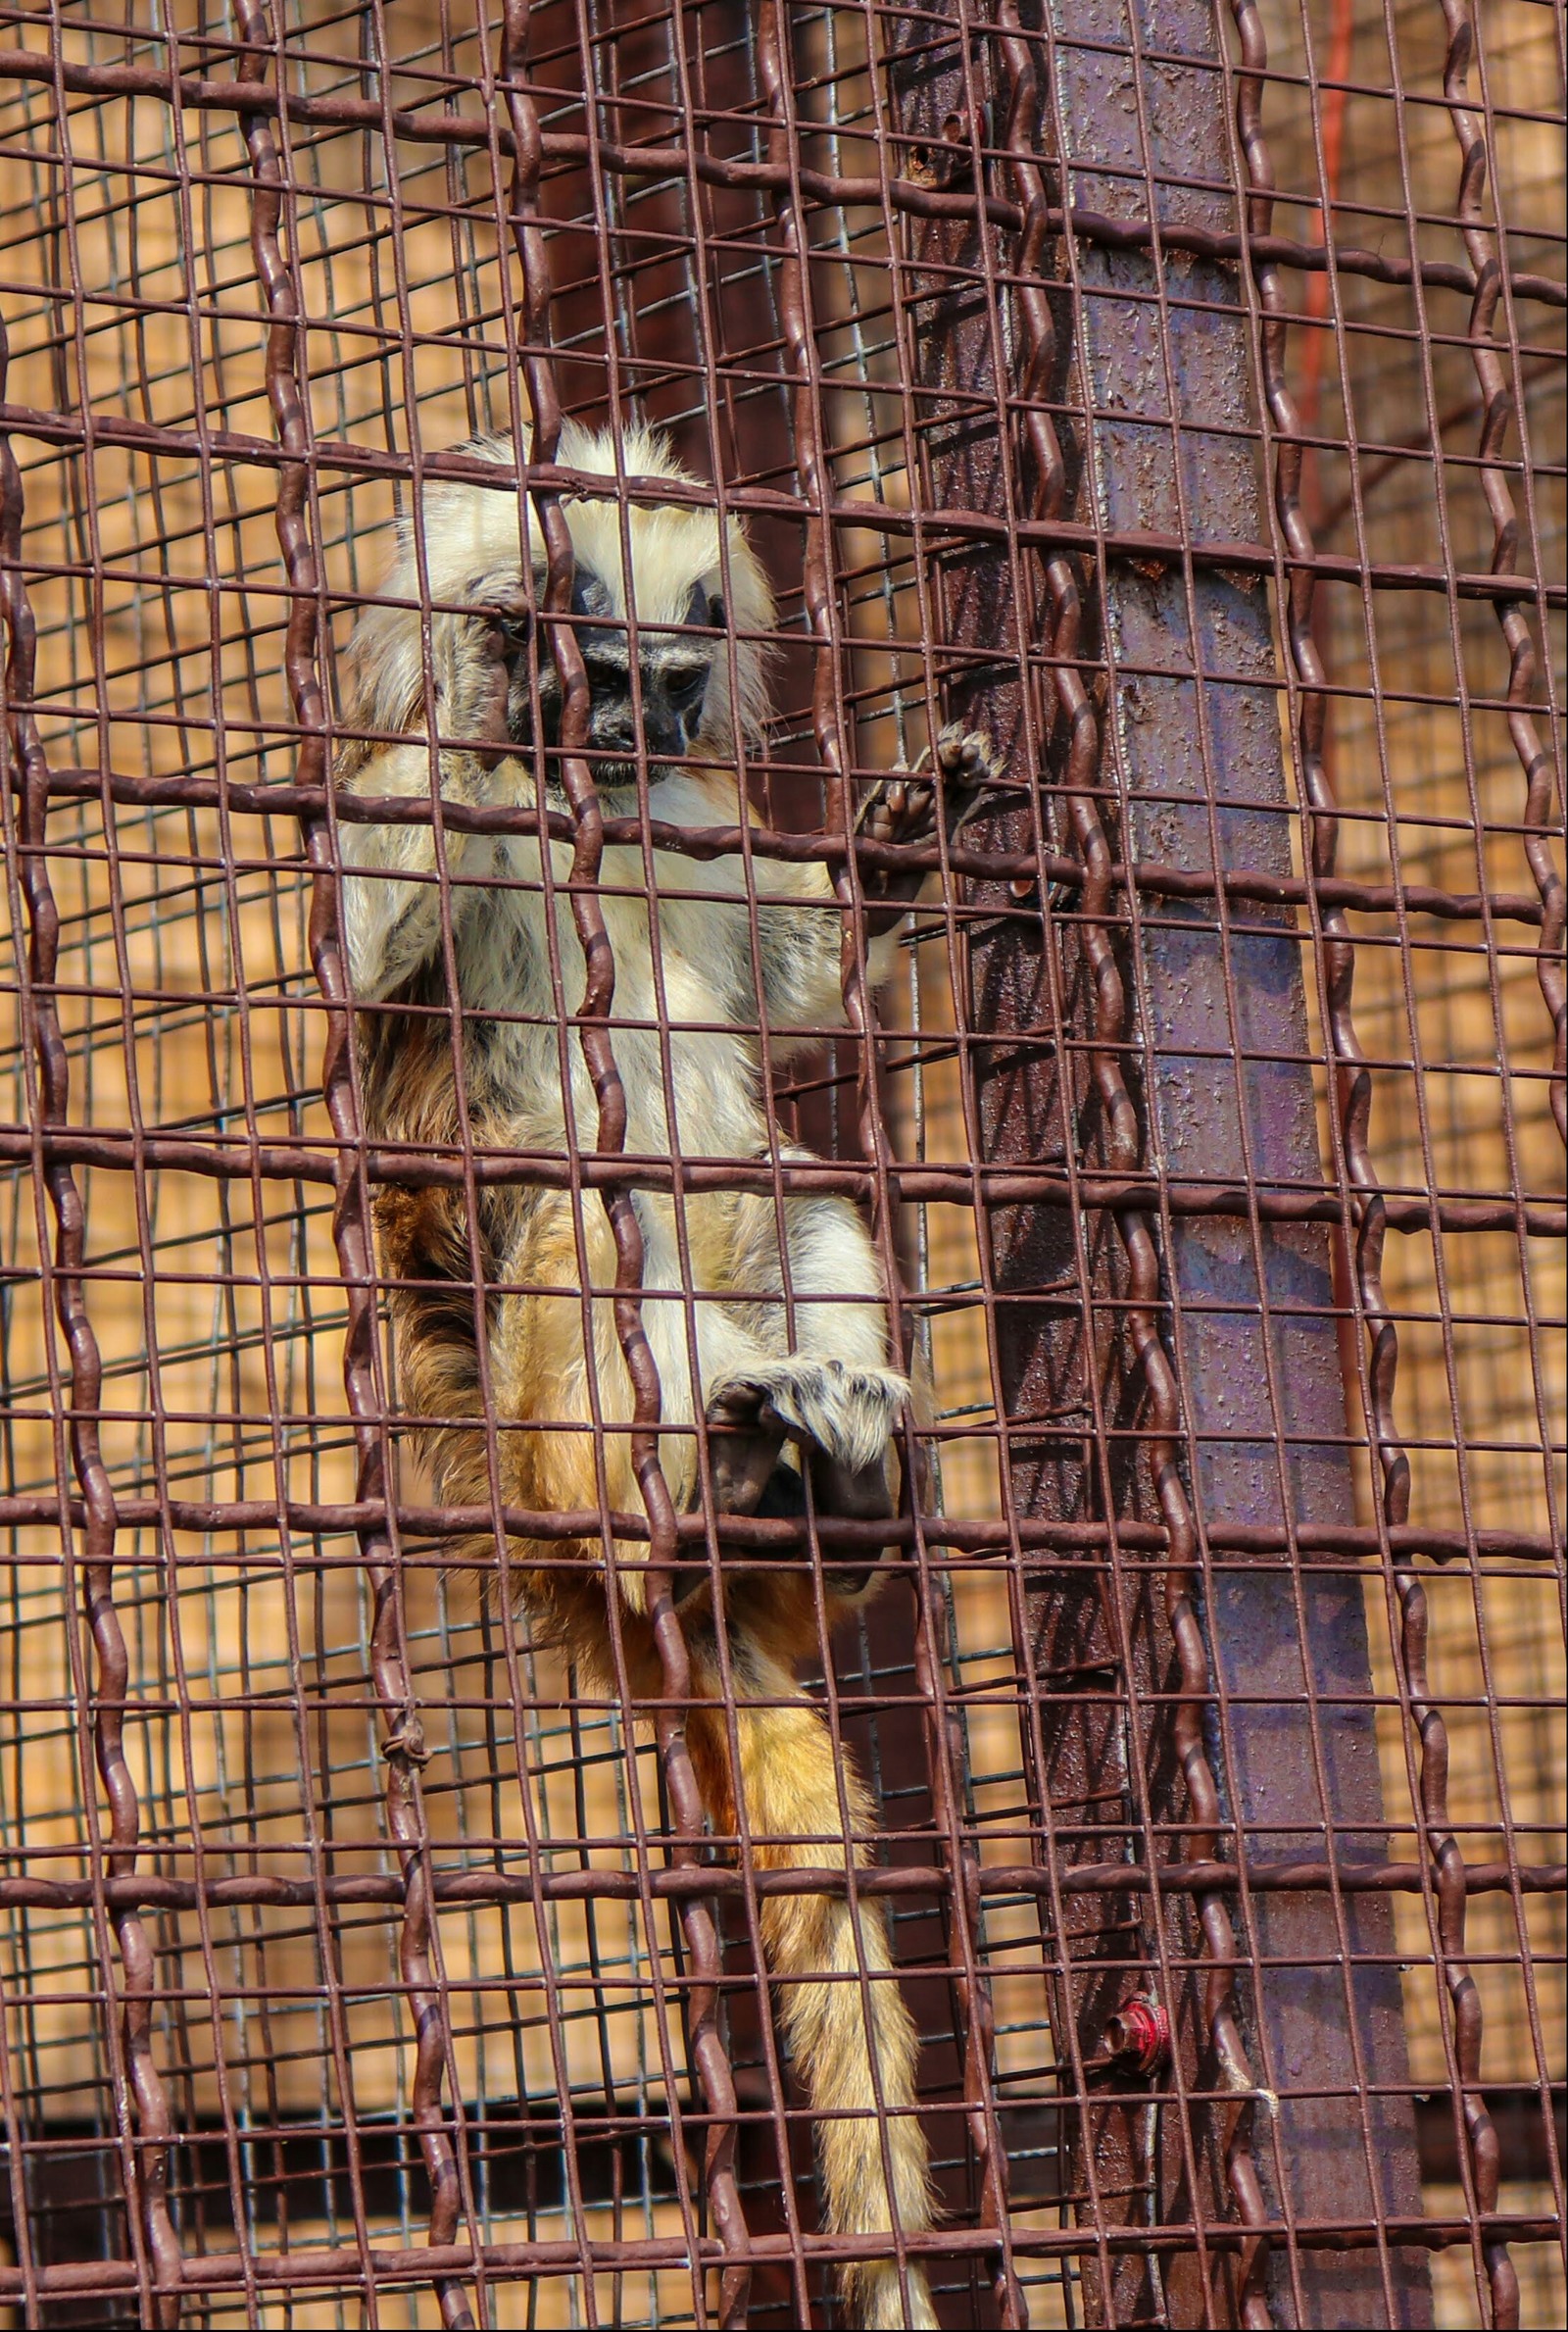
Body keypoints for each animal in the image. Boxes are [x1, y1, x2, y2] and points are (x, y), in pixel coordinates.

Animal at [332, 423, 1002, 2332]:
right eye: (595, 674)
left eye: (677, 673)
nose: (633, 722)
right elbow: (367, 959)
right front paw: (490, 672)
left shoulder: (691, 821)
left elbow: (793, 996)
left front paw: (901, 855)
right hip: (546, 1396)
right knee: (584, 1206)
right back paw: (697, 1500)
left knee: (791, 1204)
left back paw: (830, 1487)